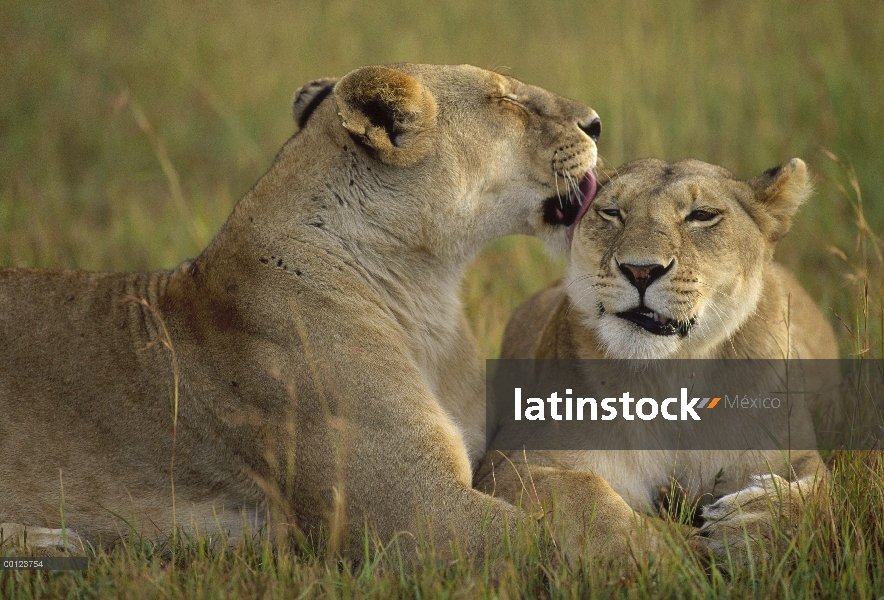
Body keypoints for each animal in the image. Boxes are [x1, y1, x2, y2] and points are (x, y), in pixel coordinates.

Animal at [0, 63, 620, 560]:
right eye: (505, 99)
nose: (596, 122)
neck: (427, 295)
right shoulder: (415, 513)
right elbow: (539, 535)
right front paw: (637, 558)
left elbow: (570, 483)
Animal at [480, 158, 840, 564]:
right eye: (612, 213)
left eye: (701, 215)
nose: (640, 271)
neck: (670, 376)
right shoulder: (507, 464)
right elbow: (588, 497)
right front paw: (669, 550)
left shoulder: (793, 456)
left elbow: (825, 496)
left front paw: (749, 523)